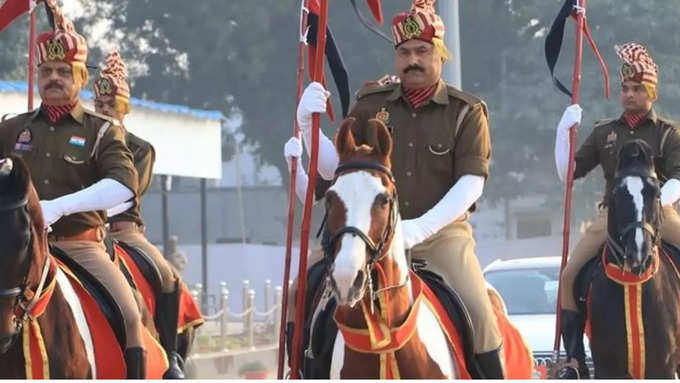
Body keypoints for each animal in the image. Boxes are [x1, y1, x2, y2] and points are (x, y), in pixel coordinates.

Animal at [588, 141, 680, 378]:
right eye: (616, 194)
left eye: (657, 194)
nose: (639, 252)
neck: (632, 282)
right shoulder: (606, 368)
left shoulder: (664, 367)